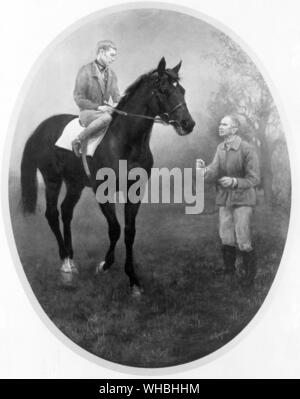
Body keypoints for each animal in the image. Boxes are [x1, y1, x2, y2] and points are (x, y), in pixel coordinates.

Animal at [20, 58, 195, 296]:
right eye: (164, 90)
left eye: (183, 90)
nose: (188, 124)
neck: (125, 142)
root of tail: (40, 129)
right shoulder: (103, 192)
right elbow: (114, 229)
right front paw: (105, 265)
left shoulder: (135, 191)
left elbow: (129, 231)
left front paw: (133, 280)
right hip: (52, 180)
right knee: (52, 214)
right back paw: (65, 264)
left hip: (74, 183)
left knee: (66, 211)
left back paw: (72, 258)